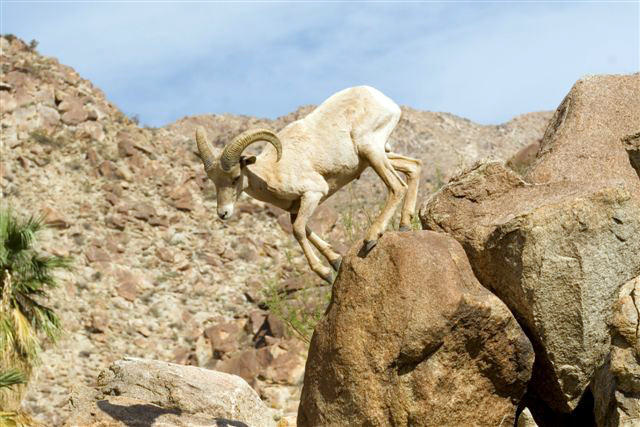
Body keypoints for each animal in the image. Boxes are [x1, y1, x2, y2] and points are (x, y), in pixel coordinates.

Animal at [198, 85, 422, 282]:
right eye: (214, 181)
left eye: (235, 177)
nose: (223, 213)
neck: (274, 169)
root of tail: (387, 103)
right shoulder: (295, 208)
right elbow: (304, 230)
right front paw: (336, 261)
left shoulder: (313, 194)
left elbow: (298, 230)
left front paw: (326, 274)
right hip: (375, 156)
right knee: (414, 166)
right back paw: (404, 225)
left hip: (371, 150)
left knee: (396, 186)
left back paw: (371, 239)